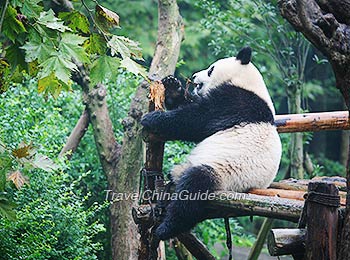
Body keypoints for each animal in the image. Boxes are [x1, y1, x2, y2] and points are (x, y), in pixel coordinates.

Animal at [140, 46, 282, 240]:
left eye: (210, 69)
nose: (193, 76)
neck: (246, 81)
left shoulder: (236, 101)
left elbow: (196, 120)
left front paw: (152, 119)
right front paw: (172, 86)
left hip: (225, 174)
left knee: (193, 190)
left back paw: (166, 228)